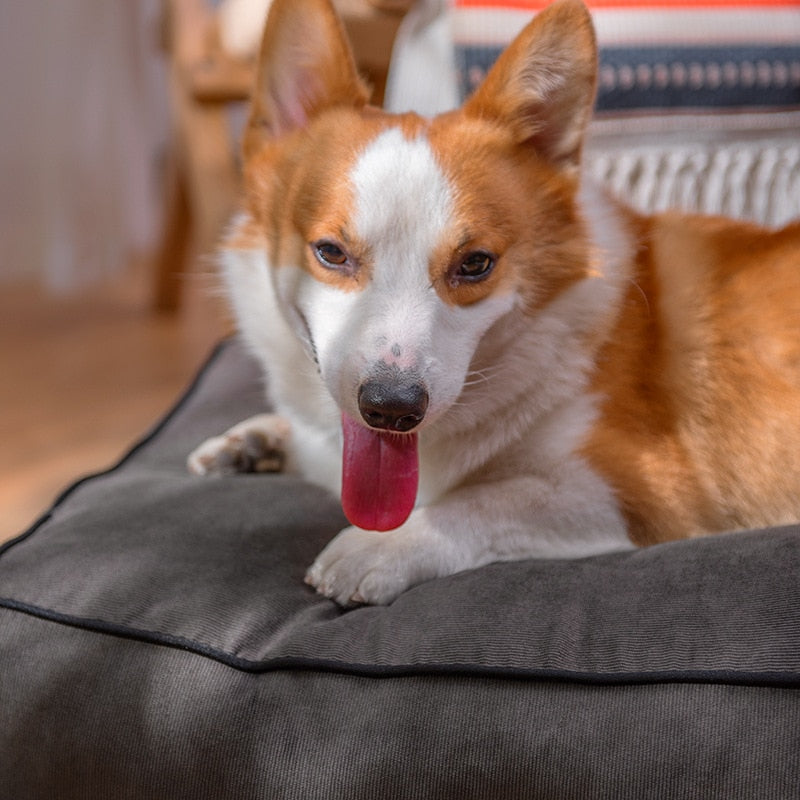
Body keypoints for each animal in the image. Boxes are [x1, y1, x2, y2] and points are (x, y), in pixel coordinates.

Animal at [189, 0, 800, 604]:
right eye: (331, 252)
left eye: (476, 263)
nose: (391, 410)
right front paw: (257, 440)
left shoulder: (640, 488)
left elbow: (485, 500)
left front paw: (377, 546)